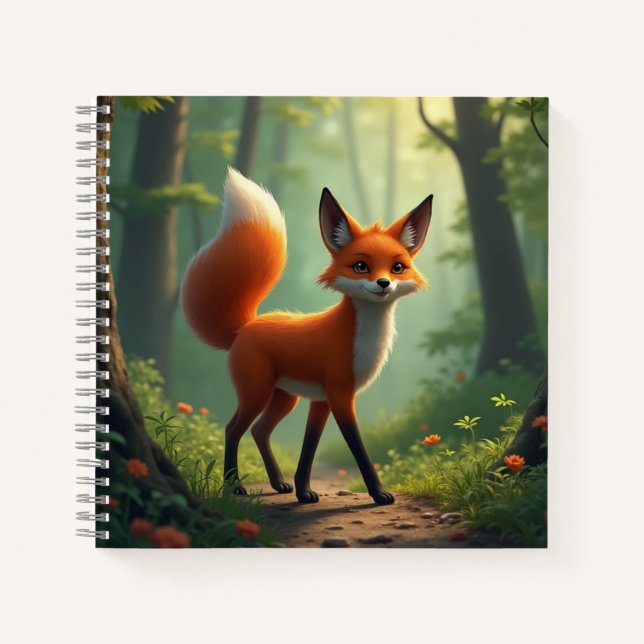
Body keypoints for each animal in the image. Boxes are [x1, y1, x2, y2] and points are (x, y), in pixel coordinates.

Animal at [181, 168, 432, 505]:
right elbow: (358, 447)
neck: (362, 338)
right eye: (361, 266)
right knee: (232, 429)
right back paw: (234, 487)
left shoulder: (320, 400)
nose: (383, 284)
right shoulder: (340, 395)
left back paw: (278, 483)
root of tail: (246, 325)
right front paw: (378, 493)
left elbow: (310, 445)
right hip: (257, 392)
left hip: (285, 398)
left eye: (398, 267)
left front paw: (303, 491)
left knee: (259, 430)